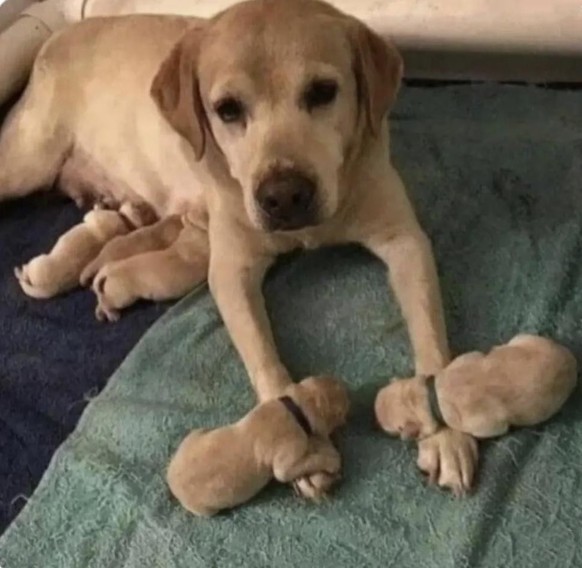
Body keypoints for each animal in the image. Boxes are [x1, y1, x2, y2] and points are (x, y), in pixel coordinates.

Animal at [167, 374, 350, 516]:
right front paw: (331, 460)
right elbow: (299, 465)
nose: (346, 387)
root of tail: (169, 479)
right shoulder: (286, 460)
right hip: (205, 510)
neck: (293, 408)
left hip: (194, 434)